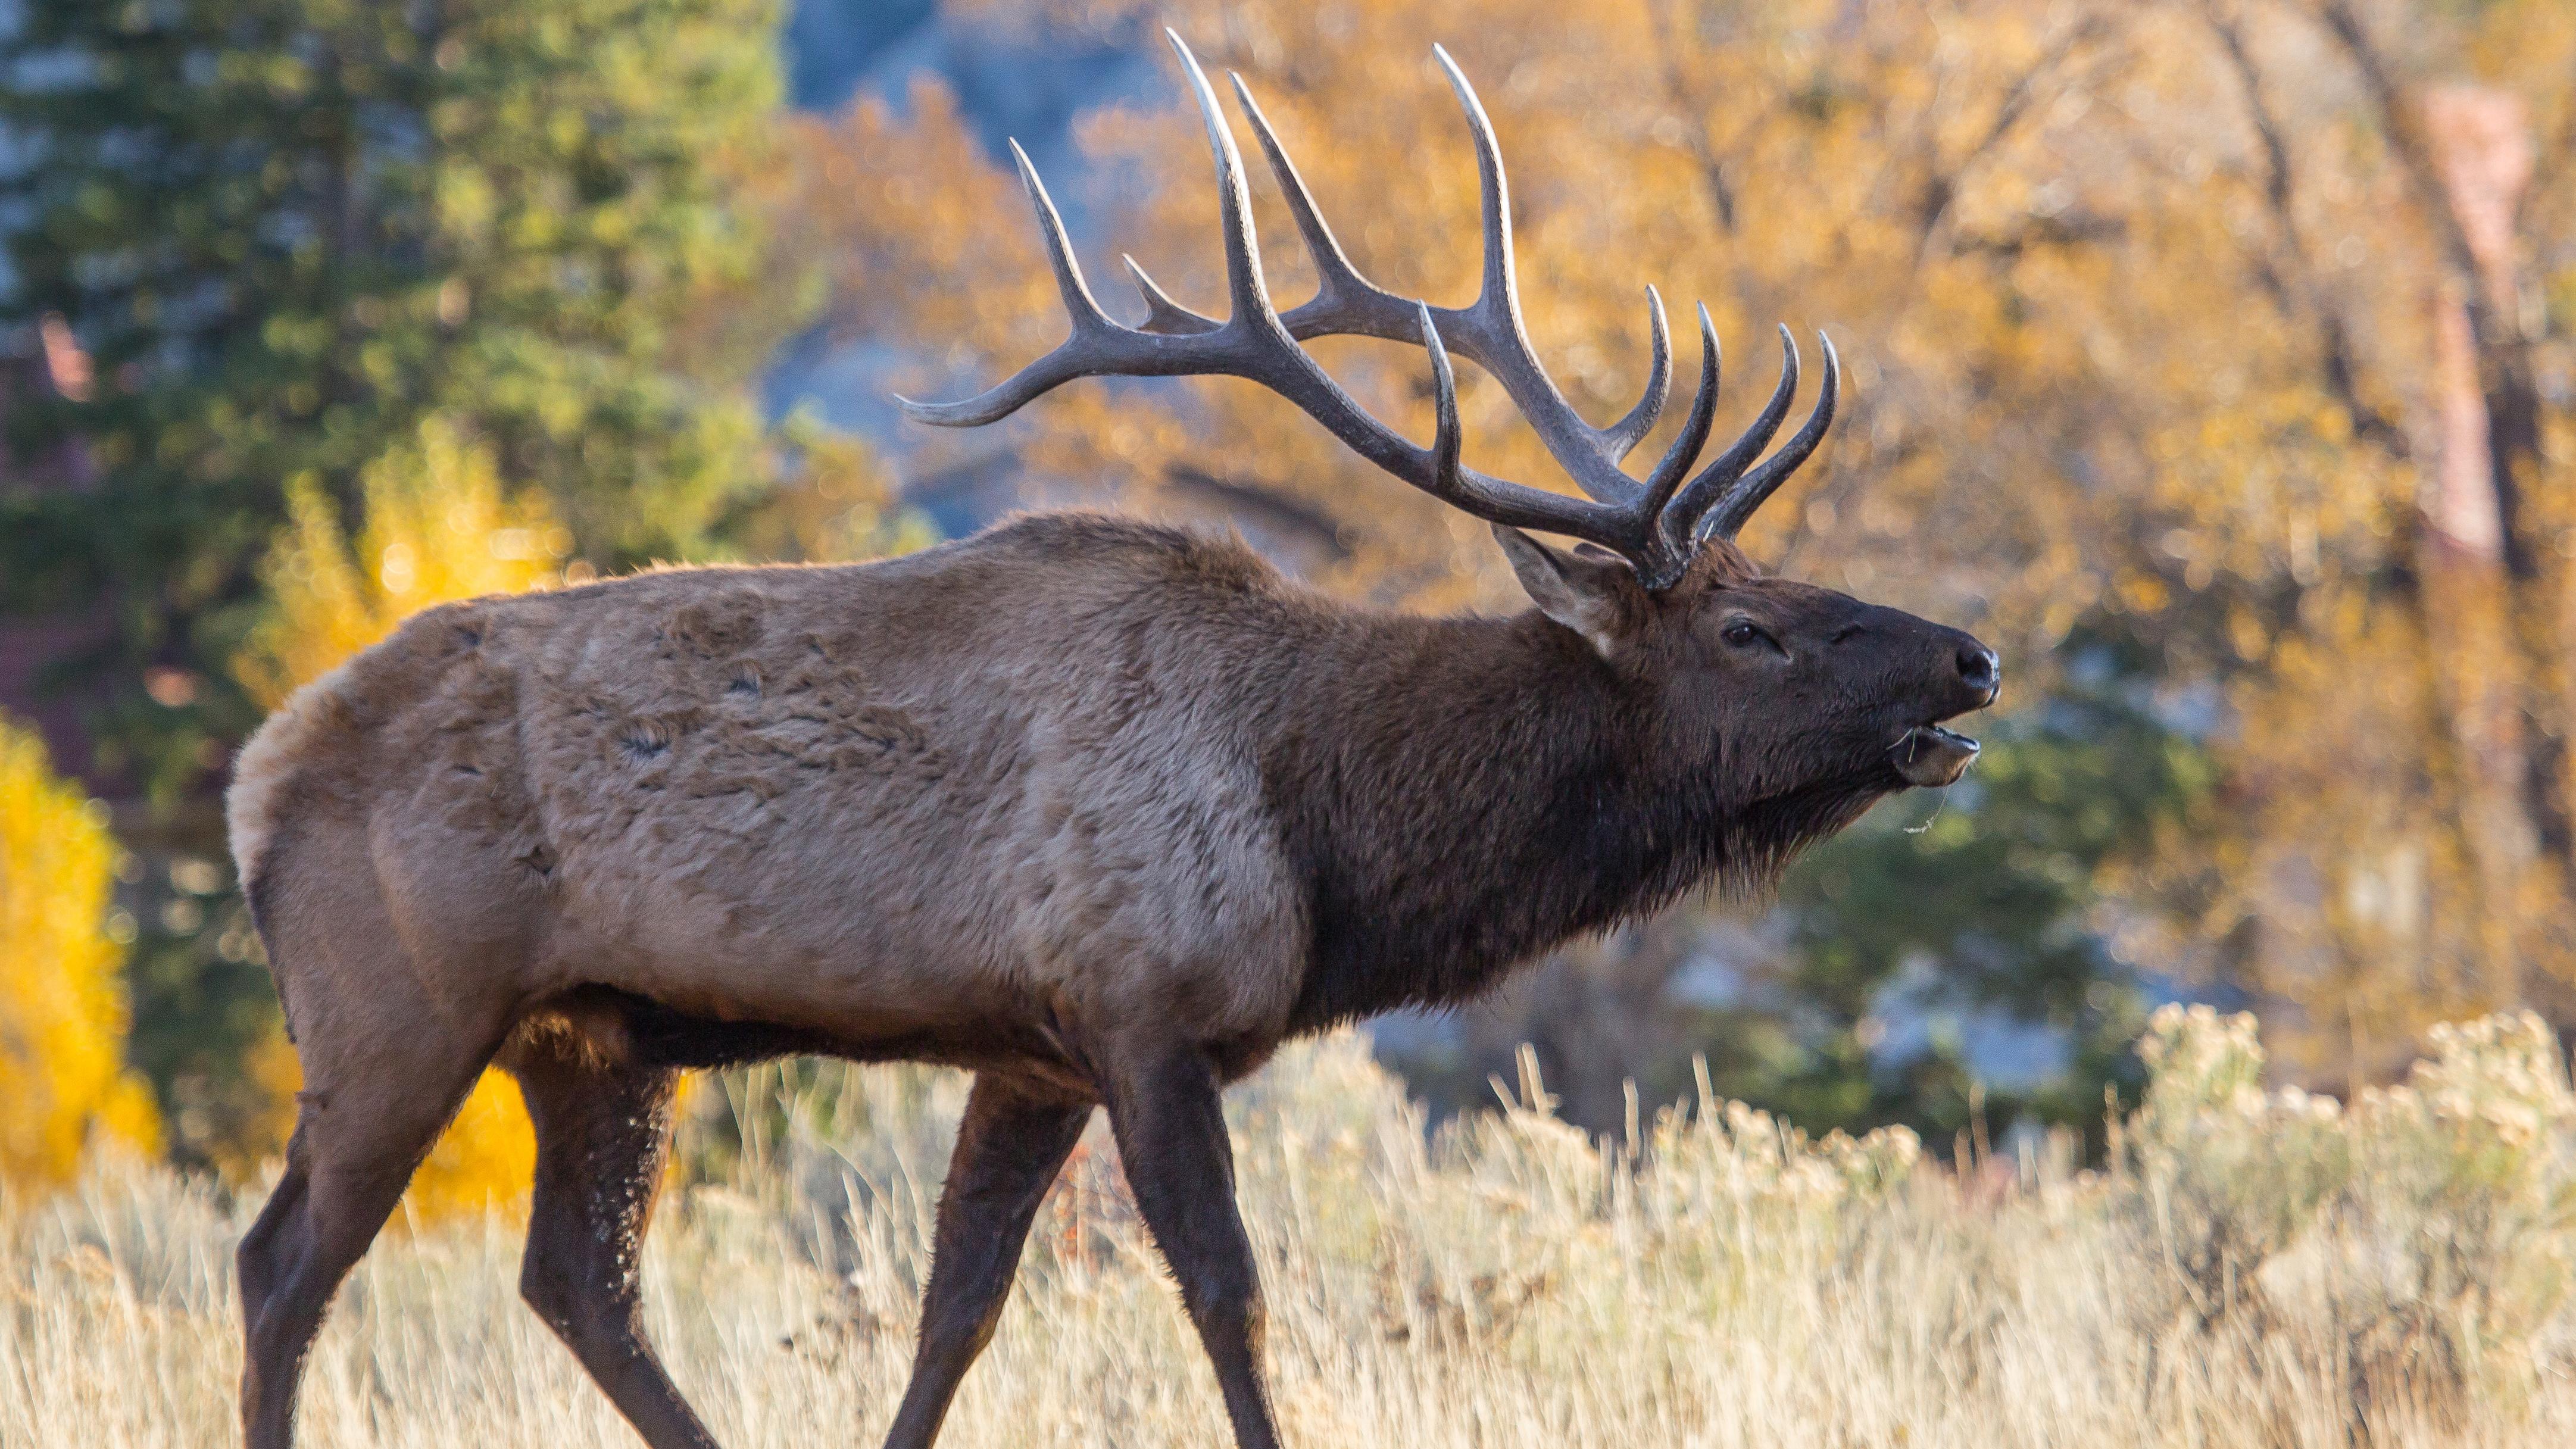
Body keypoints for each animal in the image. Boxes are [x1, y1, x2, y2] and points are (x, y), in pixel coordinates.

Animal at [226, 34, 1988, 1449]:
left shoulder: (1032, 1048)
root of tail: (255, 776)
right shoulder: (1141, 1005)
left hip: (590, 1031)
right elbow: (1228, 1293)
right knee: (284, 1263)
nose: (1967, 657)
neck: (1328, 831)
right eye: (1746, 630)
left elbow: (957, 1309)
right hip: (396, 1004)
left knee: (576, 1281)